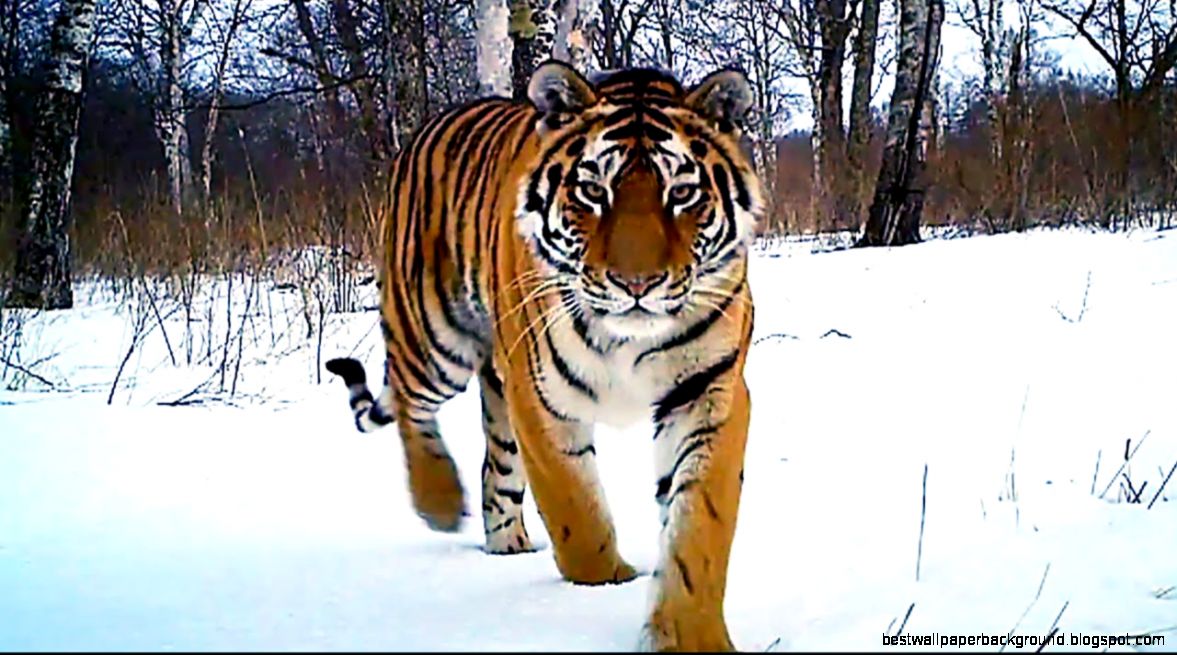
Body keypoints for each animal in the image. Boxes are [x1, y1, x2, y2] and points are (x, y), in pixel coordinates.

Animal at [325, 60, 763, 651]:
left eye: (682, 192)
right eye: (593, 190)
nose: (637, 285)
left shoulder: (709, 392)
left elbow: (700, 527)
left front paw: (689, 636)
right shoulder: (541, 397)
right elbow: (577, 512)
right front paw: (607, 582)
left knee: (495, 466)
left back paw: (505, 541)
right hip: (435, 336)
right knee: (409, 399)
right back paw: (439, 502)